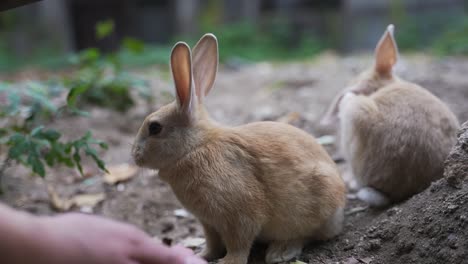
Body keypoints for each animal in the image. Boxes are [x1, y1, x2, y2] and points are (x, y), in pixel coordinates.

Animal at [132, 34, 348, 264]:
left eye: (155, 128)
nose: (135, 156)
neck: (196, 147)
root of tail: (339, 211)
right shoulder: (209, 223)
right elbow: (213, 242)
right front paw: (203, 255)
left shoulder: (238, 216)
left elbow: (239, 243)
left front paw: (228, 261)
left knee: (305, 235)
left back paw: (279, 253)